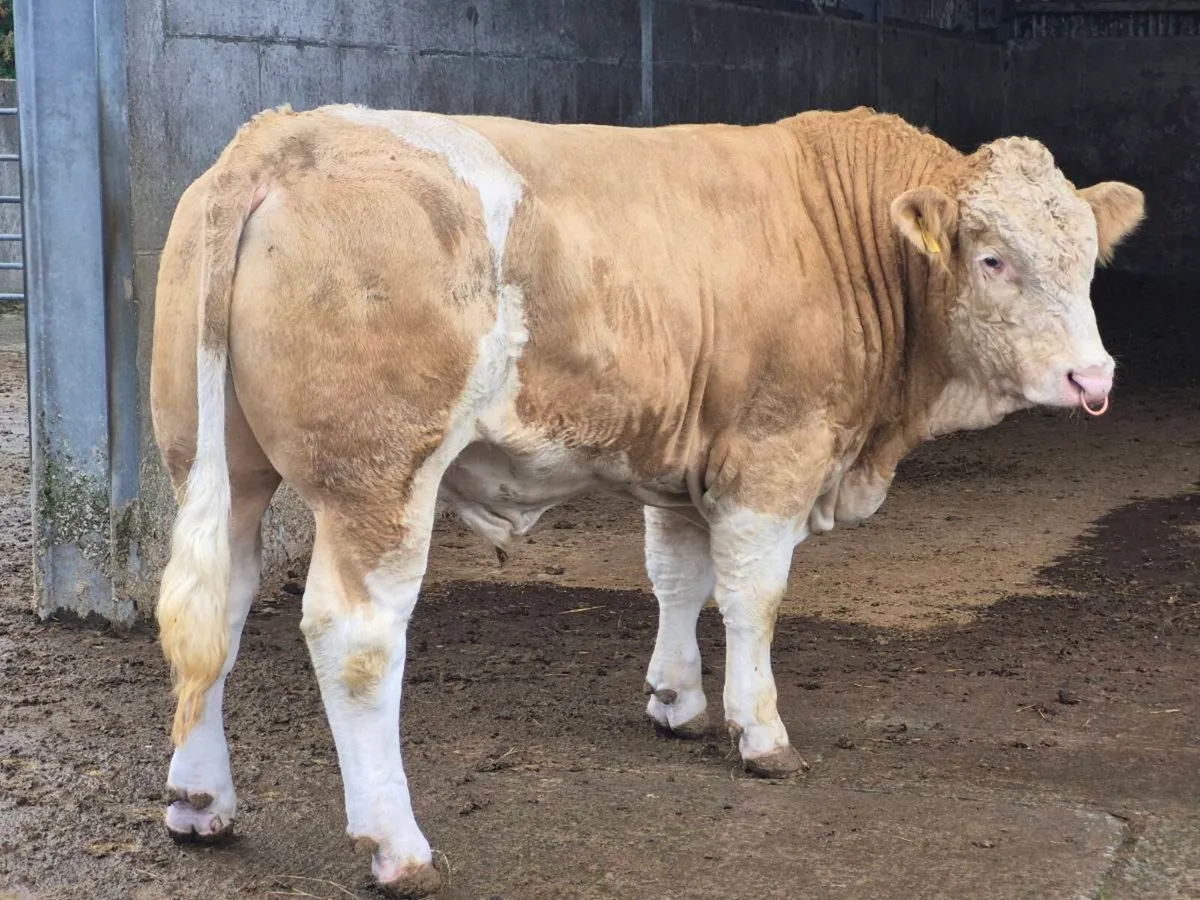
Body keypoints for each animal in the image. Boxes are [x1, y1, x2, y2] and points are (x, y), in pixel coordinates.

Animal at [150, 103, 1144, 896]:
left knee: (218, 609)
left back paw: (199, 801)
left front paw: (677, 700)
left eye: (1089, 261)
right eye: (994, 258)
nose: (1094, 377)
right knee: (354, 640)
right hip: (377, 480)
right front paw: (760, 732)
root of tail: (288, 135)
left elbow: (678, 576)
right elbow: (753, 599)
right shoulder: (774, 451)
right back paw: (399, 848)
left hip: (216, 462)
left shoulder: (684, 456)